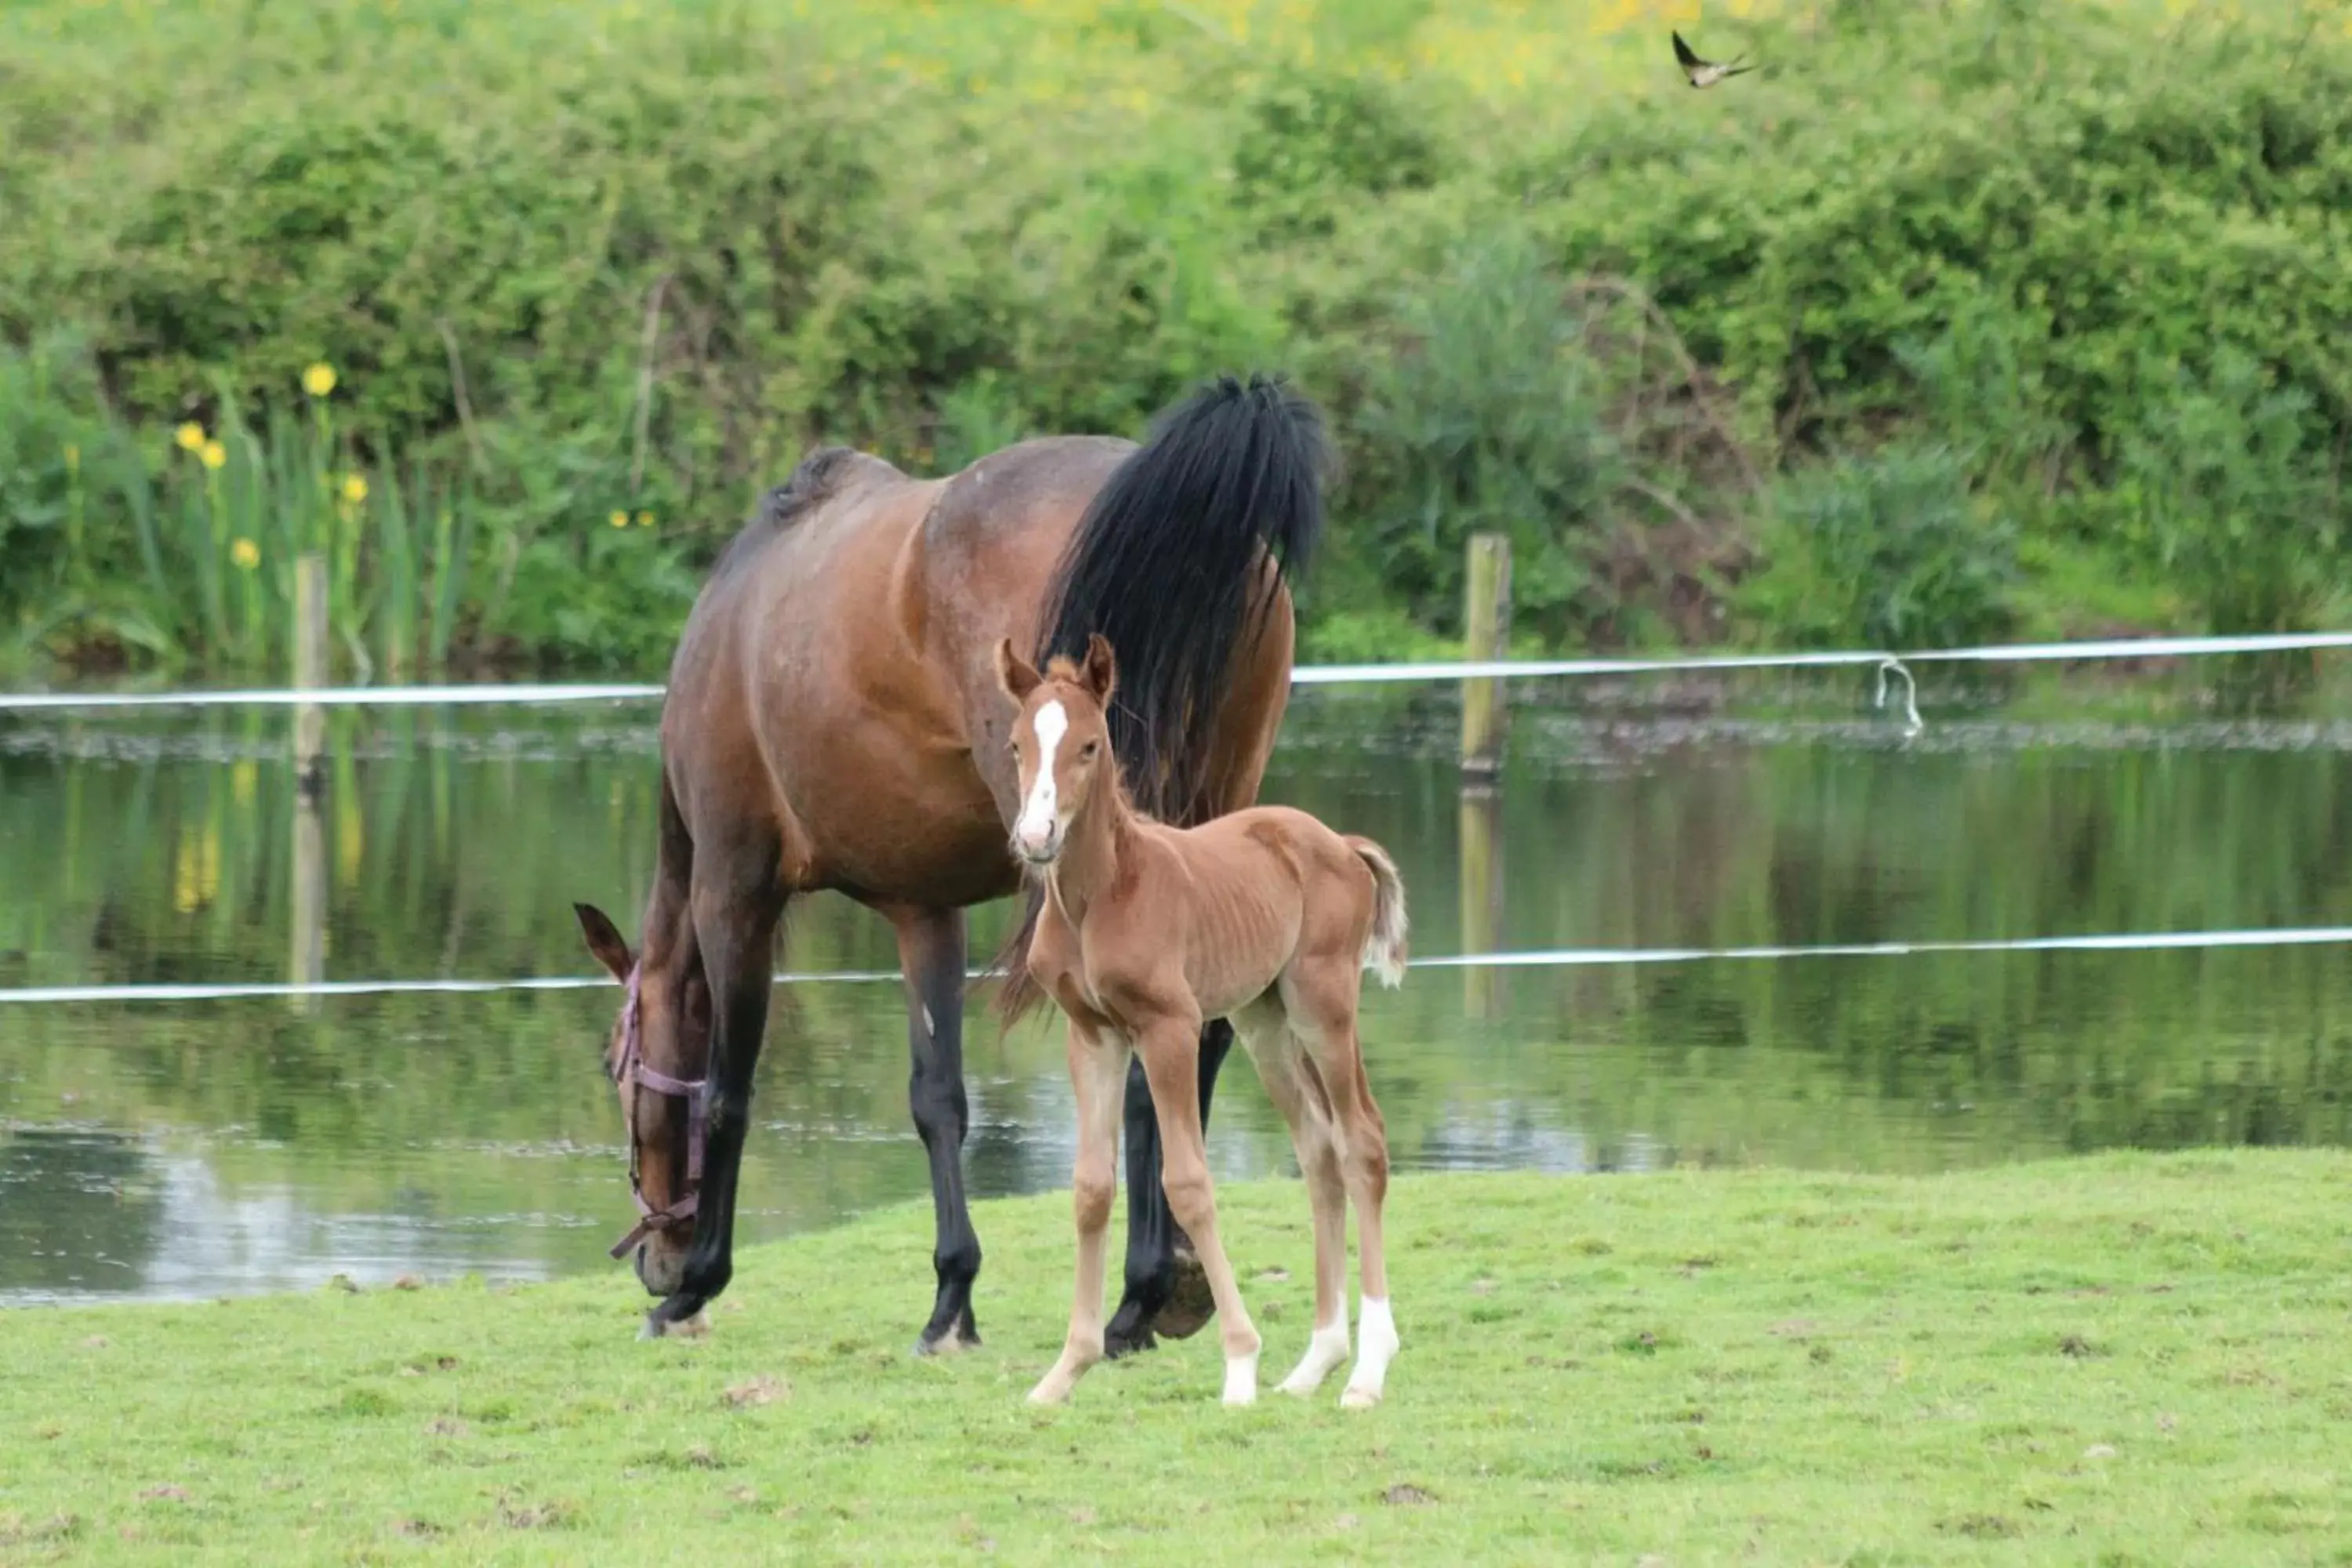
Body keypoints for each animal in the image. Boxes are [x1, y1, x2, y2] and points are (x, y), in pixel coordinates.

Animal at [997, 634, 1402, 1410]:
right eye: (1015, 745)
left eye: (1090, 745)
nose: (1036, 836)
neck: (1101, 895)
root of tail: (1340, 843)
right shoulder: (1092, 1035)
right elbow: (1091, 1188)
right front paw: (1066, 1371)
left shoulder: (1169, 1030)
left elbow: (1187, 1182)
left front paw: (1240, 1363)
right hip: (1263, 1021)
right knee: (1320, 1150)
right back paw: (1315, 1363)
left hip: (1322, 1005)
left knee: (1362, 1142)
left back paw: (1367, 1371)